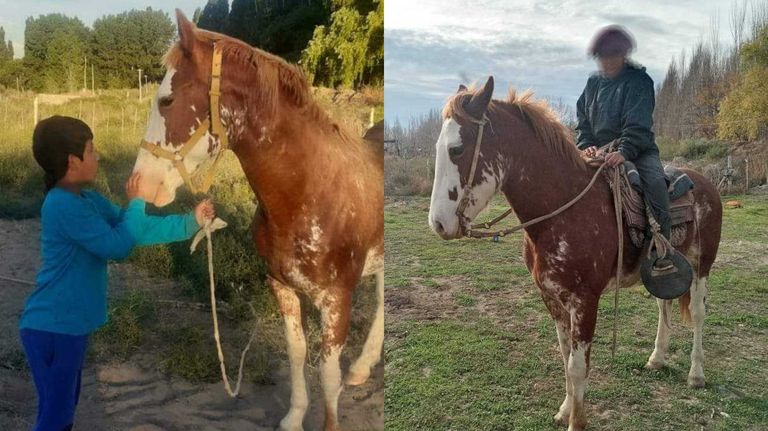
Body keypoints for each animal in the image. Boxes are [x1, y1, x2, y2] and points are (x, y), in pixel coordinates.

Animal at [131, 11, 383, 431]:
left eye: (167, 99)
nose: (137, 185)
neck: (308, 192)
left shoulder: (336, 300)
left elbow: (328, 375)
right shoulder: (281, 287)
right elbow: (297, 354)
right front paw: (293, 417)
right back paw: (363, 366)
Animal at [428, 76, 722, 431]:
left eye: (457, 149)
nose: (438, 223)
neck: (561, 211)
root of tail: (706, 182)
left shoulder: (585, 300)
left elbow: (578, 365)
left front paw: (577, 420)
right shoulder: (552, 298)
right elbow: (565, 357)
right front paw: (566, 409)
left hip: (702, 265)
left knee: (700, 314)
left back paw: (696, 374)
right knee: (663, 306)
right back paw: (657, 358)